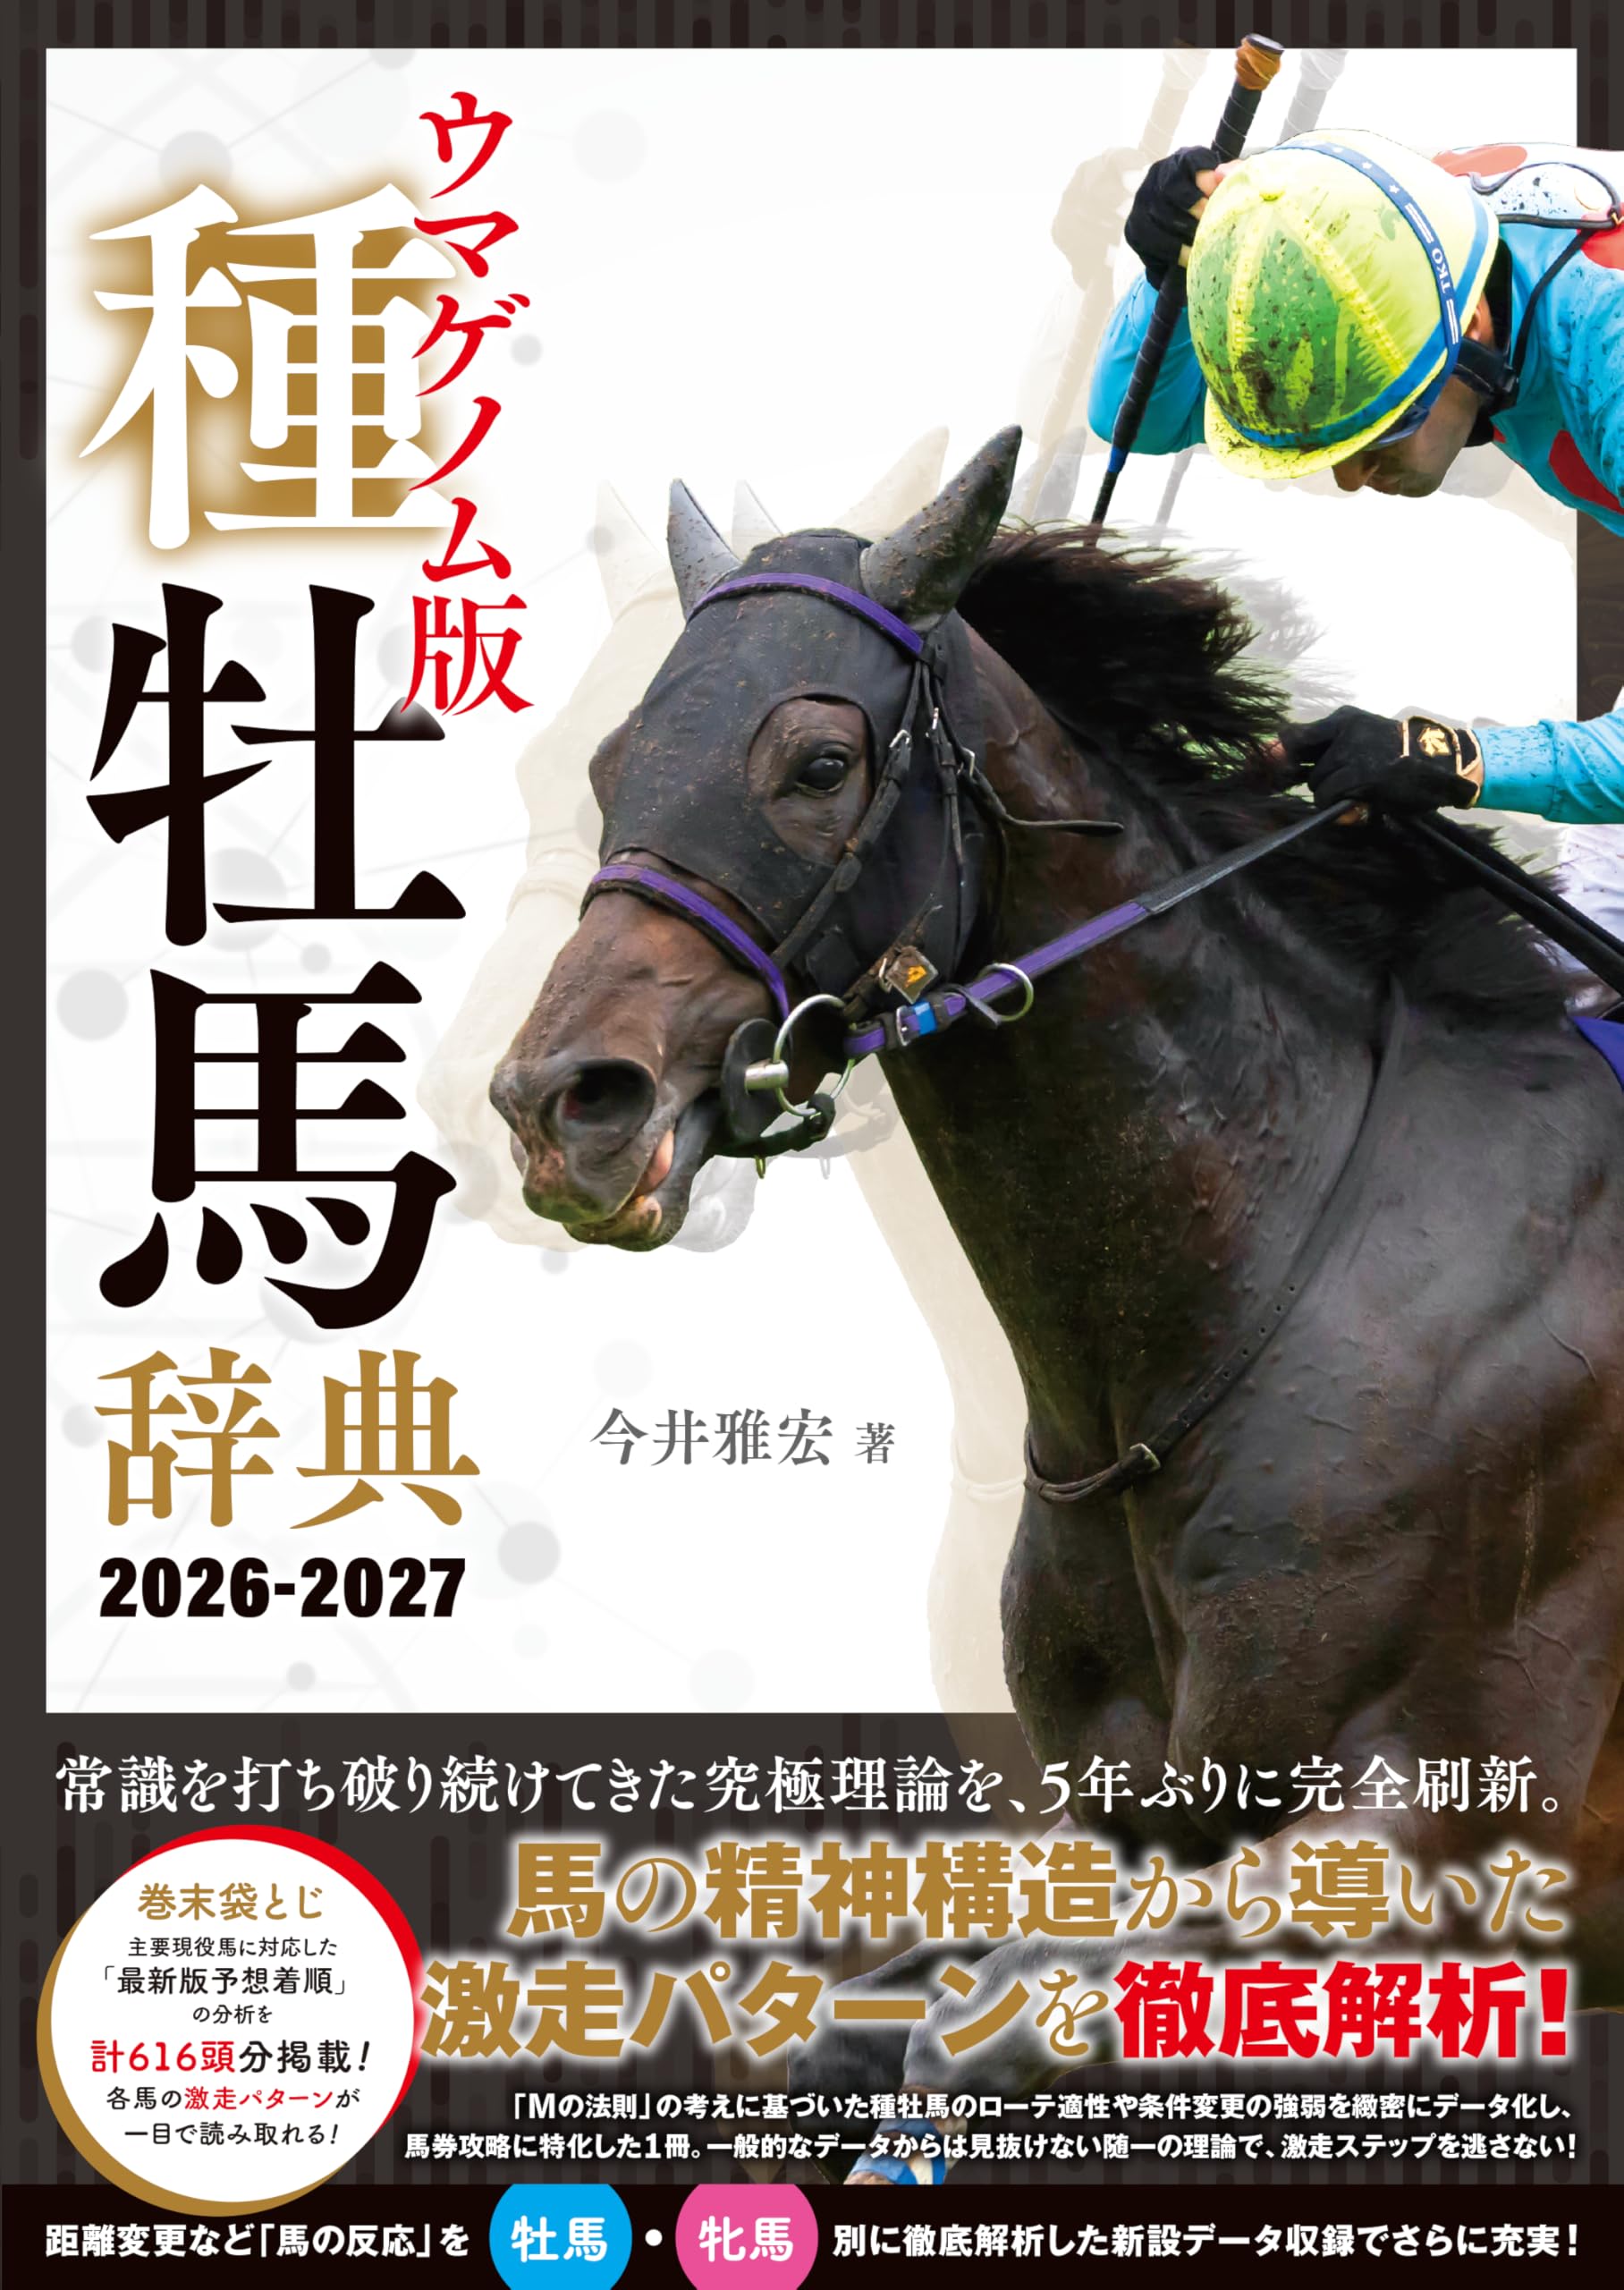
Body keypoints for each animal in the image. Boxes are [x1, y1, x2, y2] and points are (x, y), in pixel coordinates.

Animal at [488, 426, 1624, 2150]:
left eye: (817, 764)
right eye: (614, 761)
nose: (566, 1105)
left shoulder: (1451, 1829)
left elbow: (981, 2049)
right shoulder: (1133, 1822)